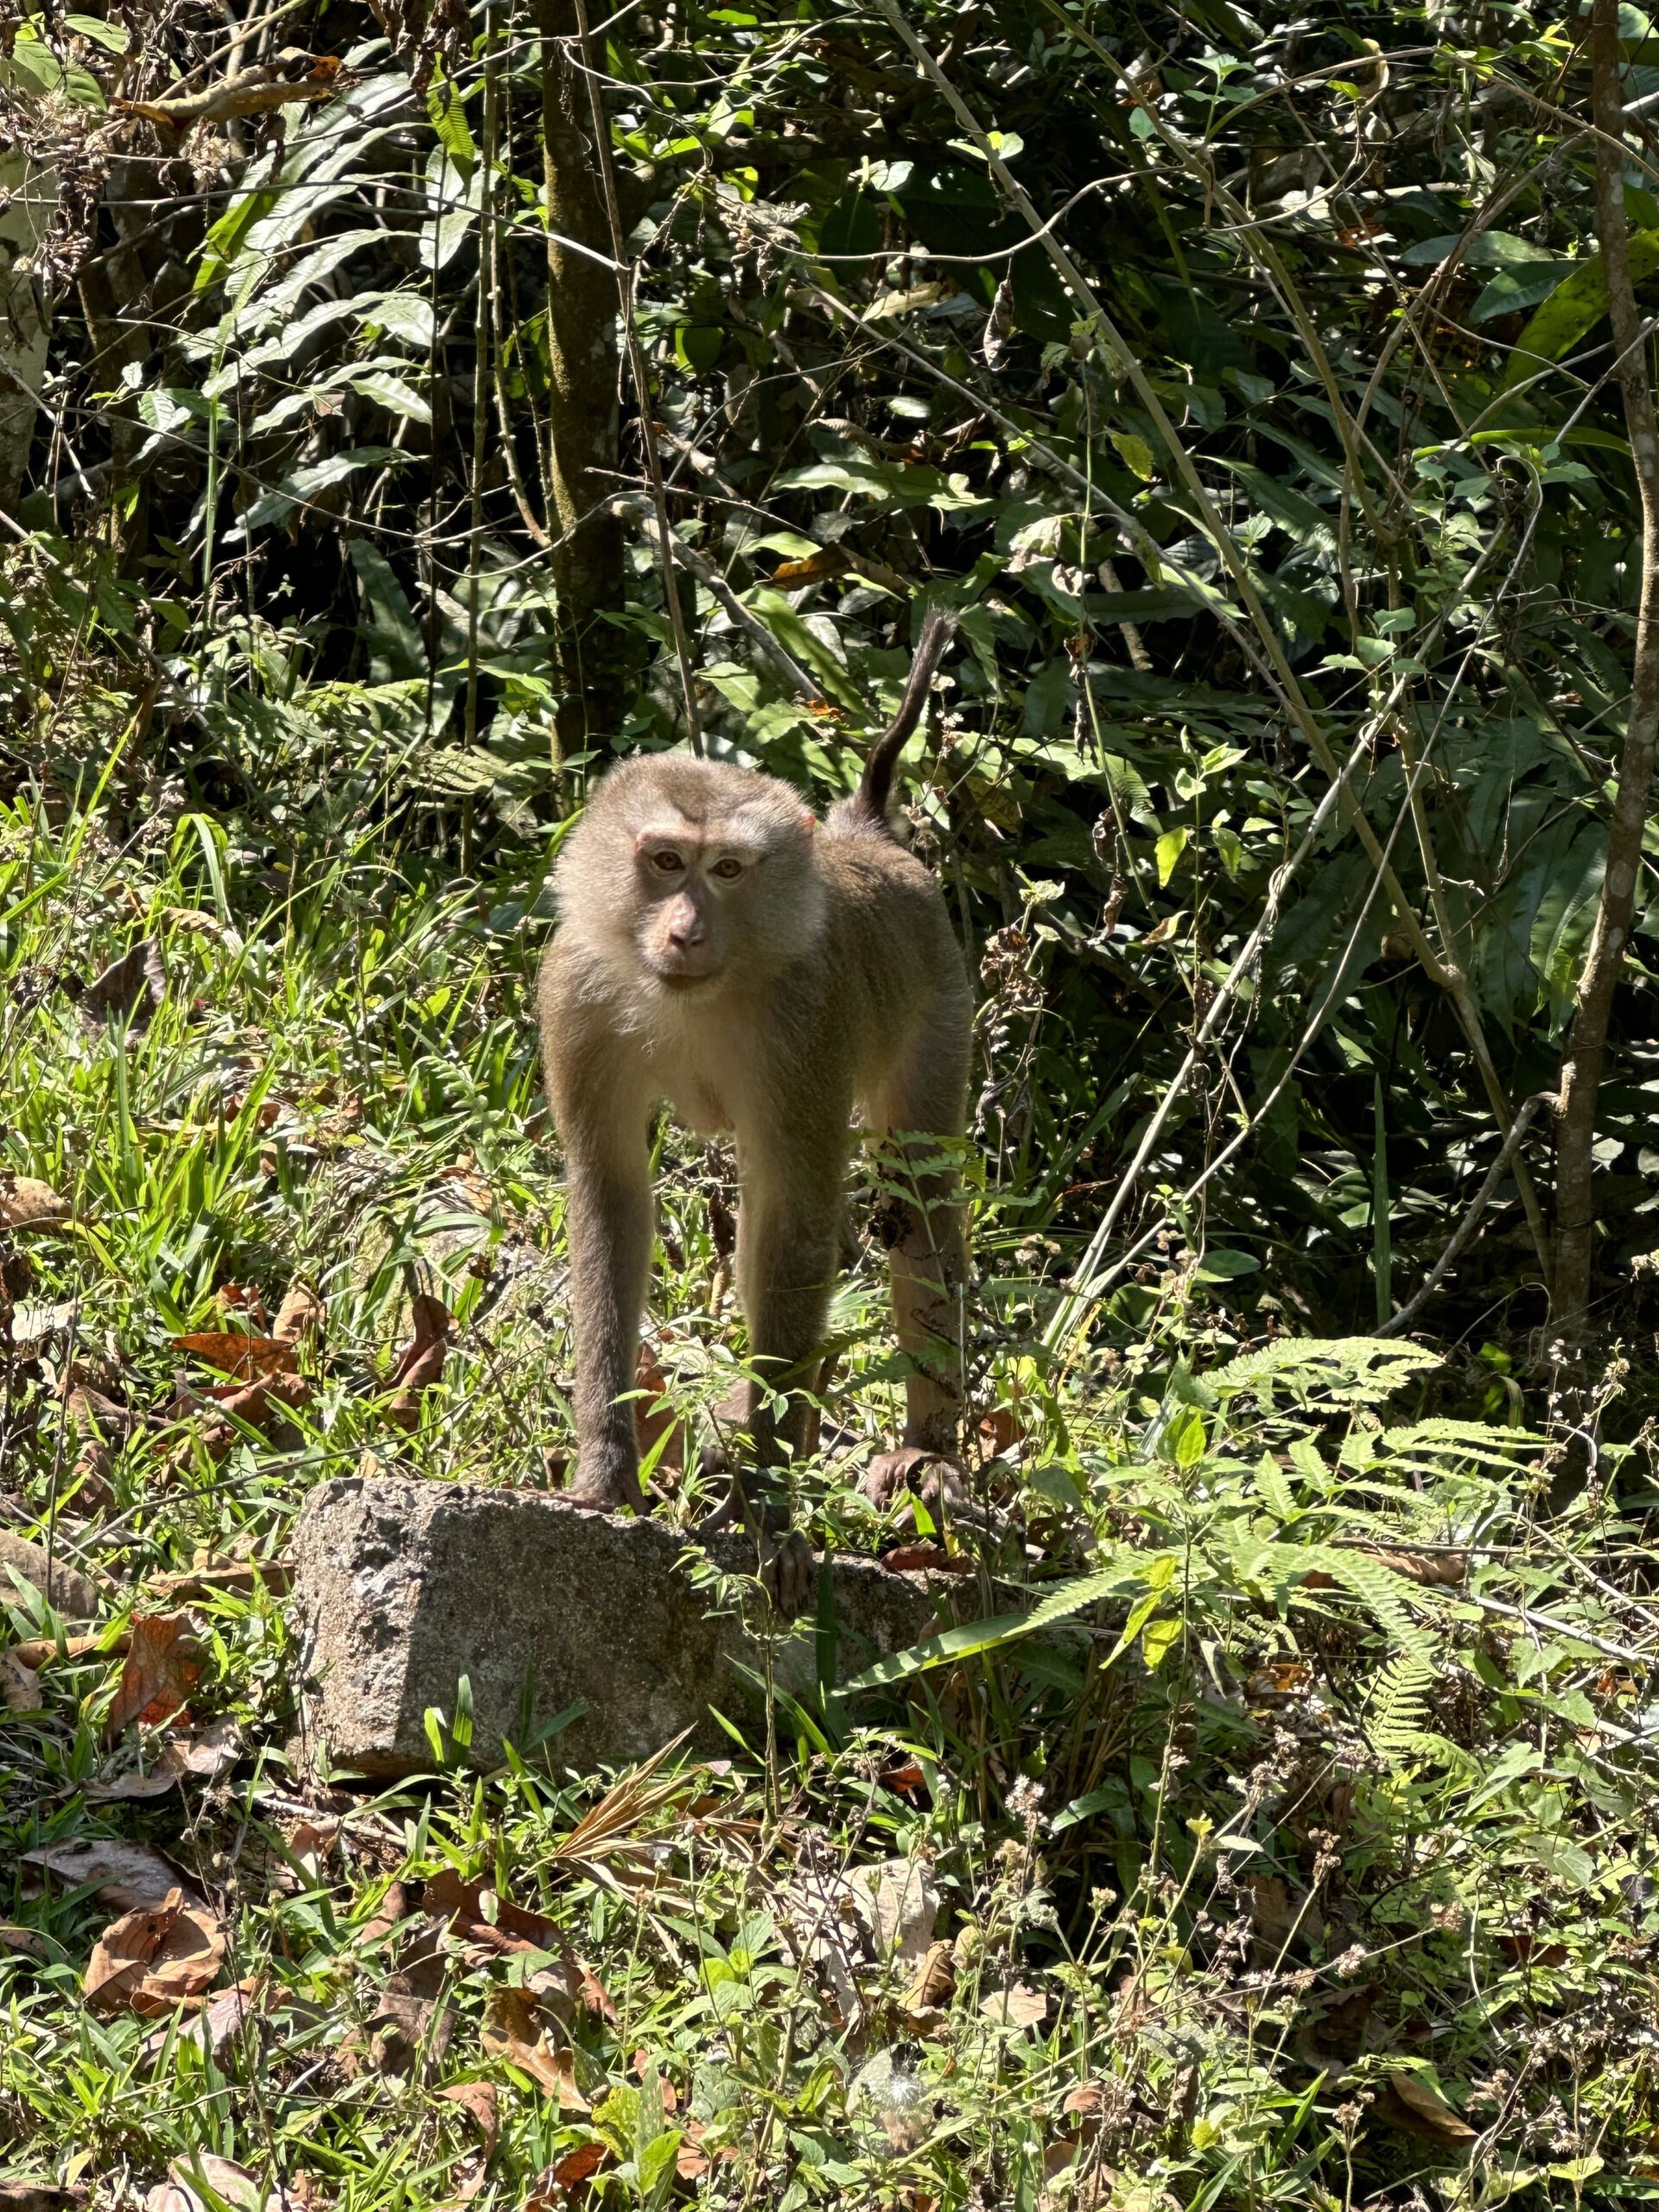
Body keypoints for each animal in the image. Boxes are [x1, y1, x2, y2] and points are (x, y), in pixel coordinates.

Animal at [539, 614, 969, 1618]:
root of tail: (868, 838)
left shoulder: (804, 1023)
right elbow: (612, 1198)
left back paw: (924, 1451)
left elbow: (802, 1227)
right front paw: (606, 1467)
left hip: (938, 1004)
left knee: (915, 1212)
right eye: (665, 862)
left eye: (729, 869)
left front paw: (769, 1514)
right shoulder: (577, 991)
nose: (686, 930)